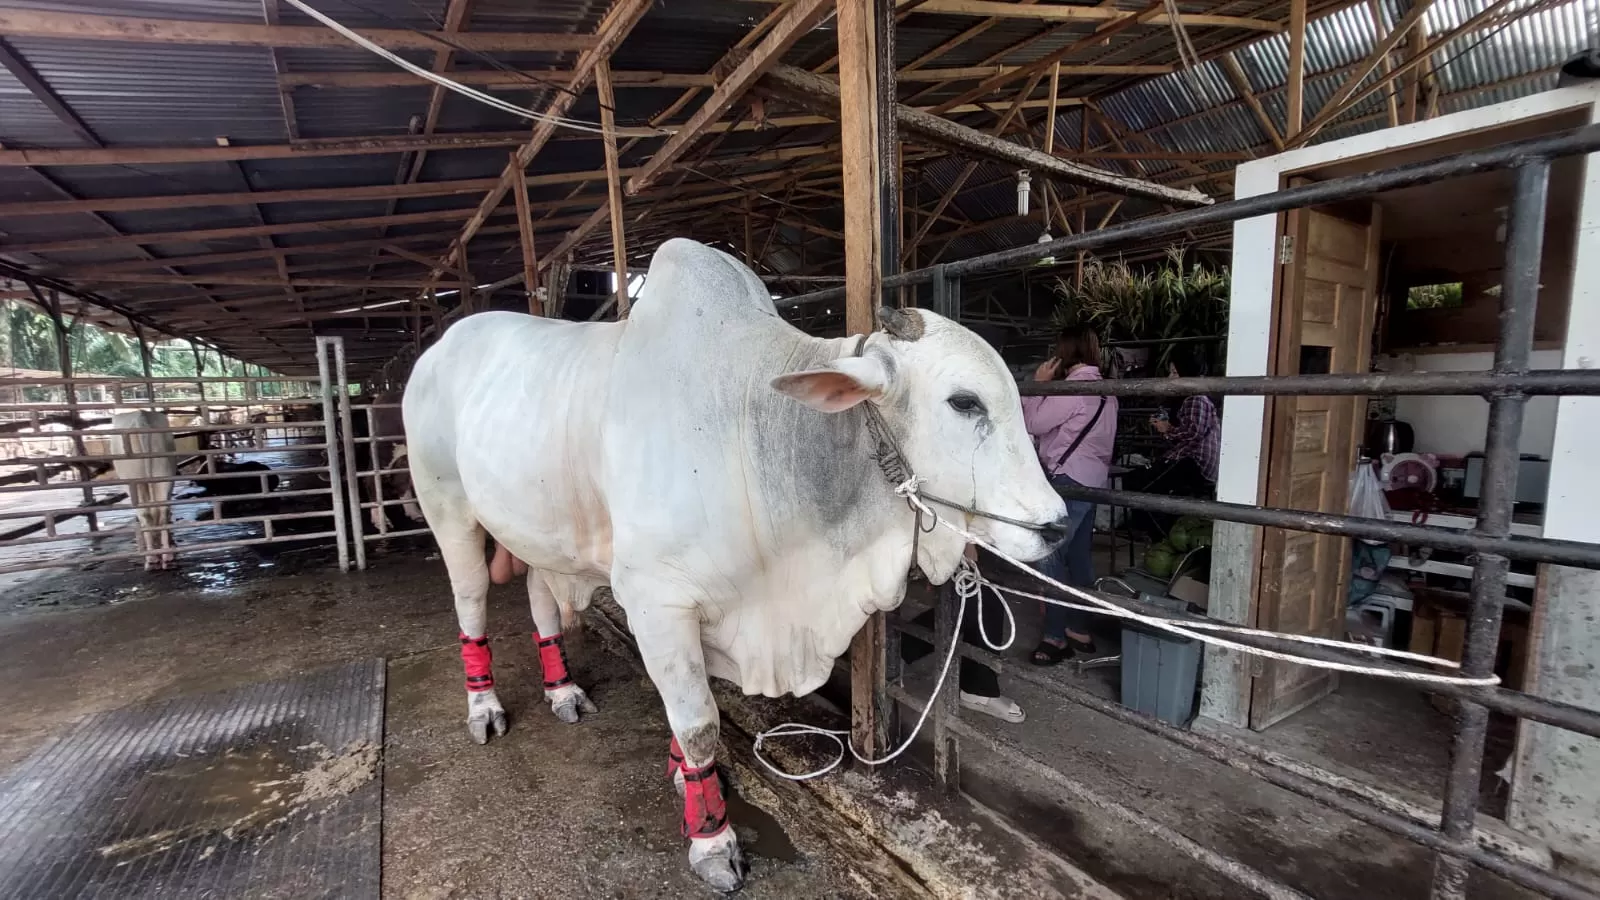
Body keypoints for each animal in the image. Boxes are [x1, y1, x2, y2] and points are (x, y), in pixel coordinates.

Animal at [111, 408, 178, 566]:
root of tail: (141, 416)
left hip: (133, 478)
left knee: (146, 513)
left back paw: (151, 556)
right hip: (163, 472)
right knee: (162, 511)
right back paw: (166, 553)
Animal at [403, 235, 1075, 883]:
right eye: (964, 402)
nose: (1056, 525)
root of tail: (436, 352)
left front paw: (684, 779)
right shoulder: (655, 602)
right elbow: (699, 722)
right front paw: (711, 839)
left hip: (537, 530)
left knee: (542, 599)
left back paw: (561, 688)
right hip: (448, 508)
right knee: (471, 600)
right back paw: (485, 705)